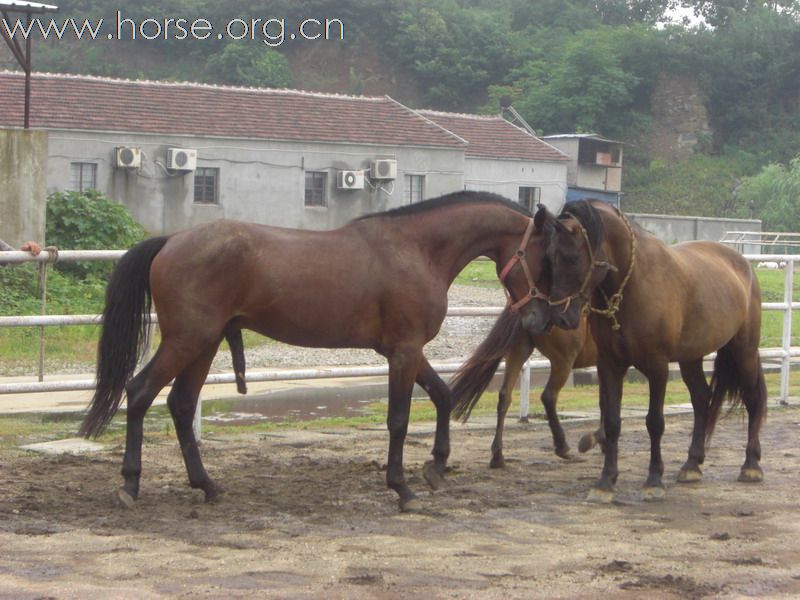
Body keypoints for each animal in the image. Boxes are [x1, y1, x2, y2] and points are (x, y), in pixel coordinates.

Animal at [79, 191, 552, 510]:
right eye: (548, 258)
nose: (542, 320)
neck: (416, 250)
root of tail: (170, 240)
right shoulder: (404, 351)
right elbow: (398, 420)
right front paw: (401, 487)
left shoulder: (407, 351)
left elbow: (442, 394)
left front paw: (435, 467)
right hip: (187, 341)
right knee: (140, 393)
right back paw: (130, 485)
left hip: (205, 343)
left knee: (180, 403)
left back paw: (207, 486)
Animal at [454, 200, 764, 502]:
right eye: (548, 260)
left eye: (571, 258)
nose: (558, 317)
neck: (634, 285)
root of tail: (743, 265)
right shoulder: (610, 365)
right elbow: (613, 419)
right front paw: (605, 480)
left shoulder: (657, 367)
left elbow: (654, 422)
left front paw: (653, 480)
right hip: (689, 358)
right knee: (701, 399)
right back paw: (692, 464)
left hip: (744, 349)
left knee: (752, 399)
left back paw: (751, 465)